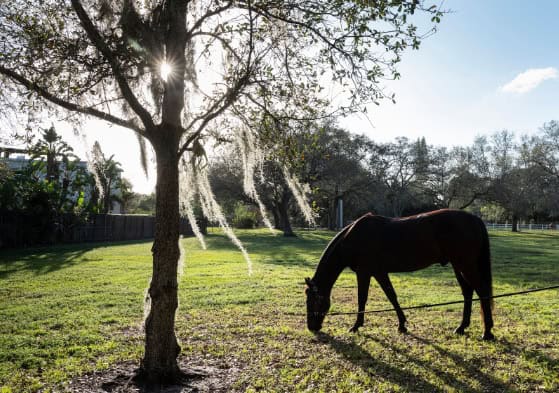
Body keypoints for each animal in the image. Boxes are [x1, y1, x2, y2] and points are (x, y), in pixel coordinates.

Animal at [306, 208, 494, 340]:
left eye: (313, 300)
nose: (311, 327)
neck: (354, 238)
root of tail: (474, 219)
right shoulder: (379, 272)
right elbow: (392, 296)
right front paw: (402, 325)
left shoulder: (364, 273)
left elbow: (362, 299)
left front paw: (356, 326)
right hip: (458, 266)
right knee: (468, 292)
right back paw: (462, 327)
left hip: (465, 265)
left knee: (482, 292)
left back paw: (487, 332)